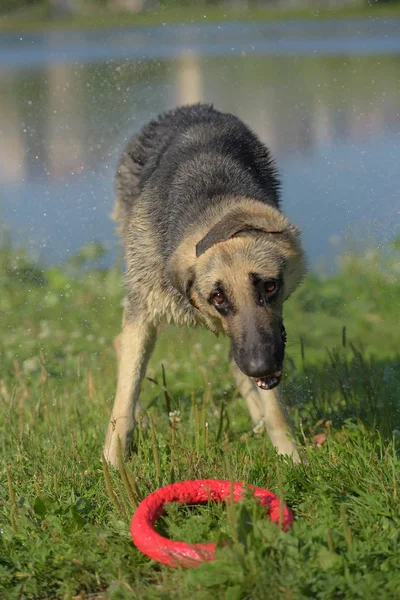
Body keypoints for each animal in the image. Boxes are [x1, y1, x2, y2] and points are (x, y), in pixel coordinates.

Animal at [104, 104, 306, 468]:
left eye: (270, 287)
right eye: (218, 298)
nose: (261, 365)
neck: (213, 211)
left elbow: (274, 407)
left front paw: (290, 455)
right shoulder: (145, 313)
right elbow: (126, 390)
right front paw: (115, 458)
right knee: (123, 350)